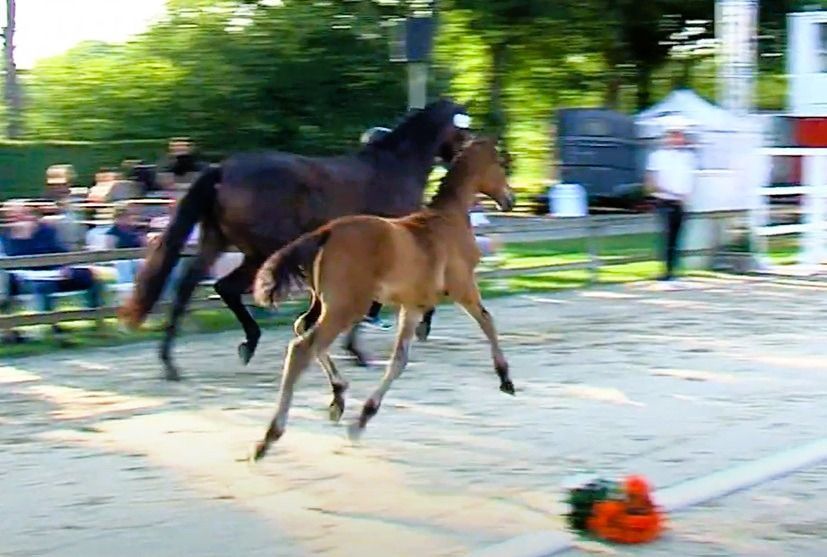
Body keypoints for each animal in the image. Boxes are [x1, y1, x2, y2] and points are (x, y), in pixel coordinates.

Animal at [119, 99, 472, 381]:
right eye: (463, 131)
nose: (463, 157)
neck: (395, 167)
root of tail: (221, 170)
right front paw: (361, 346)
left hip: (217, 242)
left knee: (190, 288)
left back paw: (173, 361)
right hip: (264, 251)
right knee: (224, 287)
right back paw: (247, 343)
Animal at [250, 137, 516, 460]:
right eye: (499, 163)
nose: (511, 199)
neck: (448, 219)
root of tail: (326, 232)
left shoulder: (413, 305)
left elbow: (399, 360)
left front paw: (362, 420)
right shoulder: (464, 288)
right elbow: (488, 321)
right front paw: (506, 379)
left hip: (325, 303)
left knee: (303, 330)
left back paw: (338, 398)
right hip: (346, 307)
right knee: (303, 348)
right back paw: (269, 437)